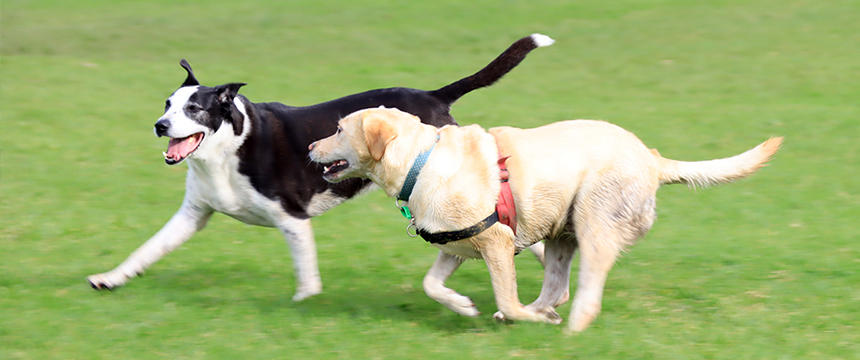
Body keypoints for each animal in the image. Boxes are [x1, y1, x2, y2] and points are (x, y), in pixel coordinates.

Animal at [87, 33, 556, 300]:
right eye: (167, 104)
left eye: (194, 108)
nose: (160, 125)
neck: (228, 147)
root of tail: (433, 96)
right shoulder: (193, 214)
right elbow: (149, 248)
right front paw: (111, 278)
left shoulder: (292, 218)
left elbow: (307, 277)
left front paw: (305, 304)